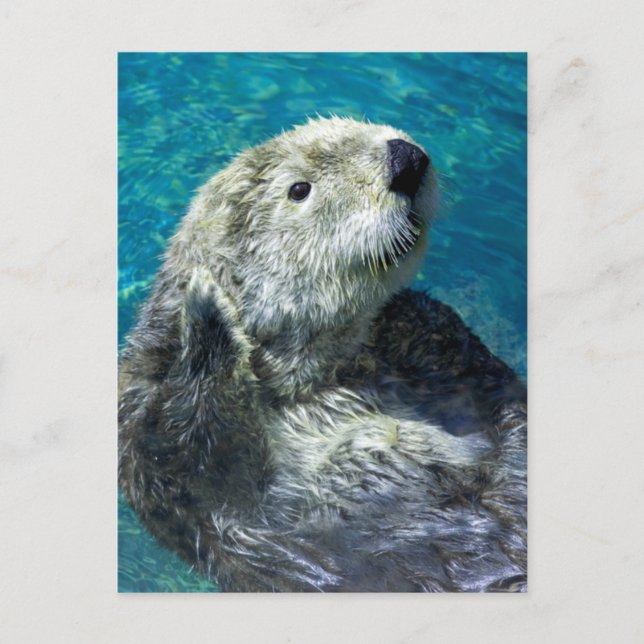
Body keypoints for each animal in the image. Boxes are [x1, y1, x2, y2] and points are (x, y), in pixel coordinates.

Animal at [118, 117, 527, 592]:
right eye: (299, 189)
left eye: (362, 123)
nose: (405, 158)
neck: (324, 378)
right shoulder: (158, 454)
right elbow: (200, 455)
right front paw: (207, 310)